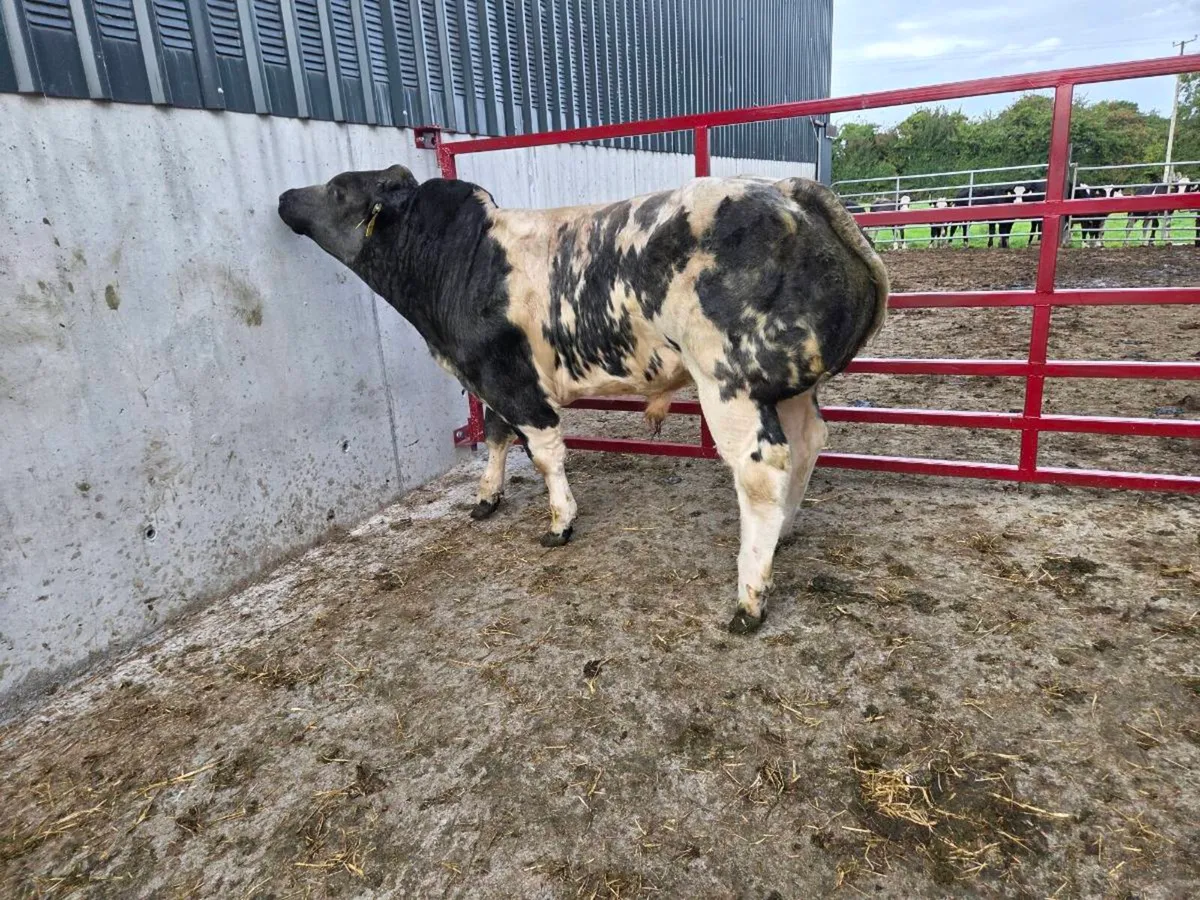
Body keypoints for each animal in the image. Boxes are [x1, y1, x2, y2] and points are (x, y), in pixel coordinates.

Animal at [278, 166, 889, 633]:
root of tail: (787, 189)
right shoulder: (492, 379)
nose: (284, 197)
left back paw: (750, 596)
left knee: (762, 471)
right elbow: (496, 436)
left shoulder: (514, 382)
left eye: (338, 189)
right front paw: (486, 497)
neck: (459, 260)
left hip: (731, 385)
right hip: (789, 386)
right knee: (808, 446)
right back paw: (784, 532)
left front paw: (559, 523)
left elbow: (545, 453)